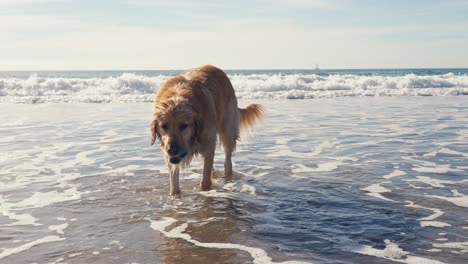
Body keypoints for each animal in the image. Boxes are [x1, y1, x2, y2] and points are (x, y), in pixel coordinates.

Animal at [150, 64, 264, 196]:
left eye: (184, 126)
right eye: (164, 126)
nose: (171, 150)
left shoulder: (209, 142)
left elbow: (205, 180)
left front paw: (205, 190)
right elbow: (174, 183)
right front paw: (175, 194)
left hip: (228, 130)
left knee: (227, 162)